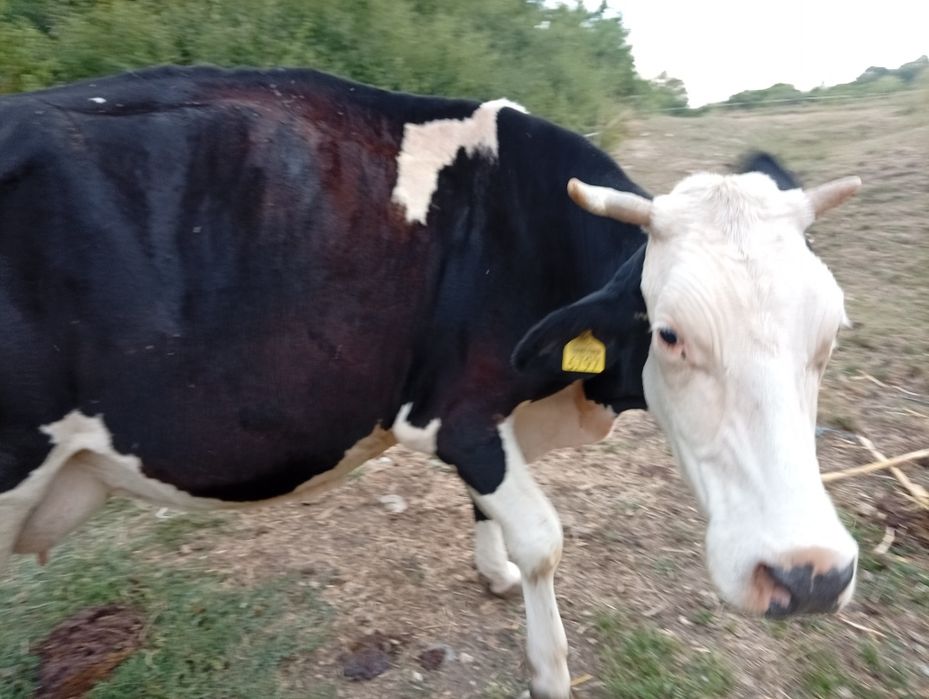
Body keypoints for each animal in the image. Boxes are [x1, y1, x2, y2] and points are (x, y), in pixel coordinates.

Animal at [0, 66, 861, 698]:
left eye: (830, 332)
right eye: (671, 333)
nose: (807, 575)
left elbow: (489, 509)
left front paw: (493, 572)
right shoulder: (454, 411)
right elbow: (543, 539)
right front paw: (548, 668)